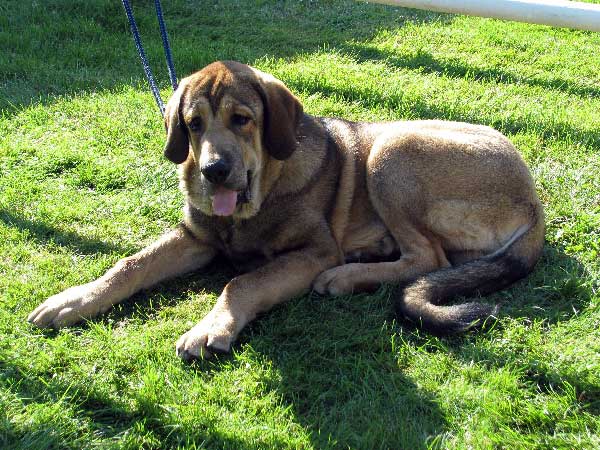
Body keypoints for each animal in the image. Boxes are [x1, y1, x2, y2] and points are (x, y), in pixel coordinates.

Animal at [27, 61, 544, 360]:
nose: (214, 171)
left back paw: (346, 275)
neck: (258, 200)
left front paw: (211, 327)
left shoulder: (312, 252)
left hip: (391, 149)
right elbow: (131, 263)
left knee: (428, 258)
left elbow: (242, 282)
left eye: (242, 120)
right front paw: (76, 299)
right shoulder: (197, 238)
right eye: (192, 124)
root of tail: (534, 202)